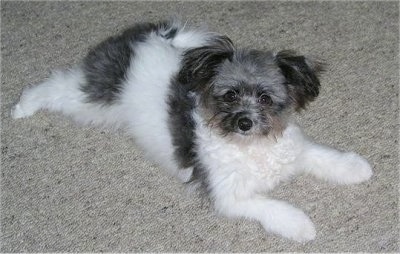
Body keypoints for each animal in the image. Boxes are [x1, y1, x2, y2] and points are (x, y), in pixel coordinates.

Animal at [13, 19, 376, 242]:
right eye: (230, 95)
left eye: (264, 97)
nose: (244, 122)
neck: (251, 148)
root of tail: (144, 36)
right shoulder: (229, 196)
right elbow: (274, 207)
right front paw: (301, 225)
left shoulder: (294, 150)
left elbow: (325, 157)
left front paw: (356, 168)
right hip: (93, 98)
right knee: (55, 86)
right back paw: (23, 106)